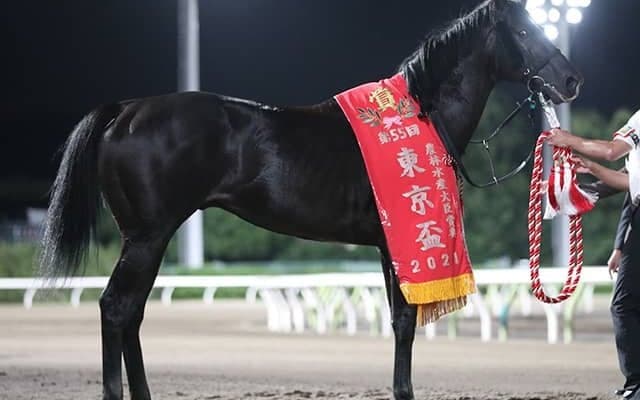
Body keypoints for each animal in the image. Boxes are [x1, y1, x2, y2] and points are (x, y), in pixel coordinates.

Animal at [39, 0, 582, 399]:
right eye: (525, 32)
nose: (570, 80)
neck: (420, 115)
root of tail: (126, 111)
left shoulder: (386, 247)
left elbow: (398, 320)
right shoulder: (396, 243)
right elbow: (405, 322)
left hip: (149, 238)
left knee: (131, 312)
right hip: (147, 237)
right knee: (116, 308)